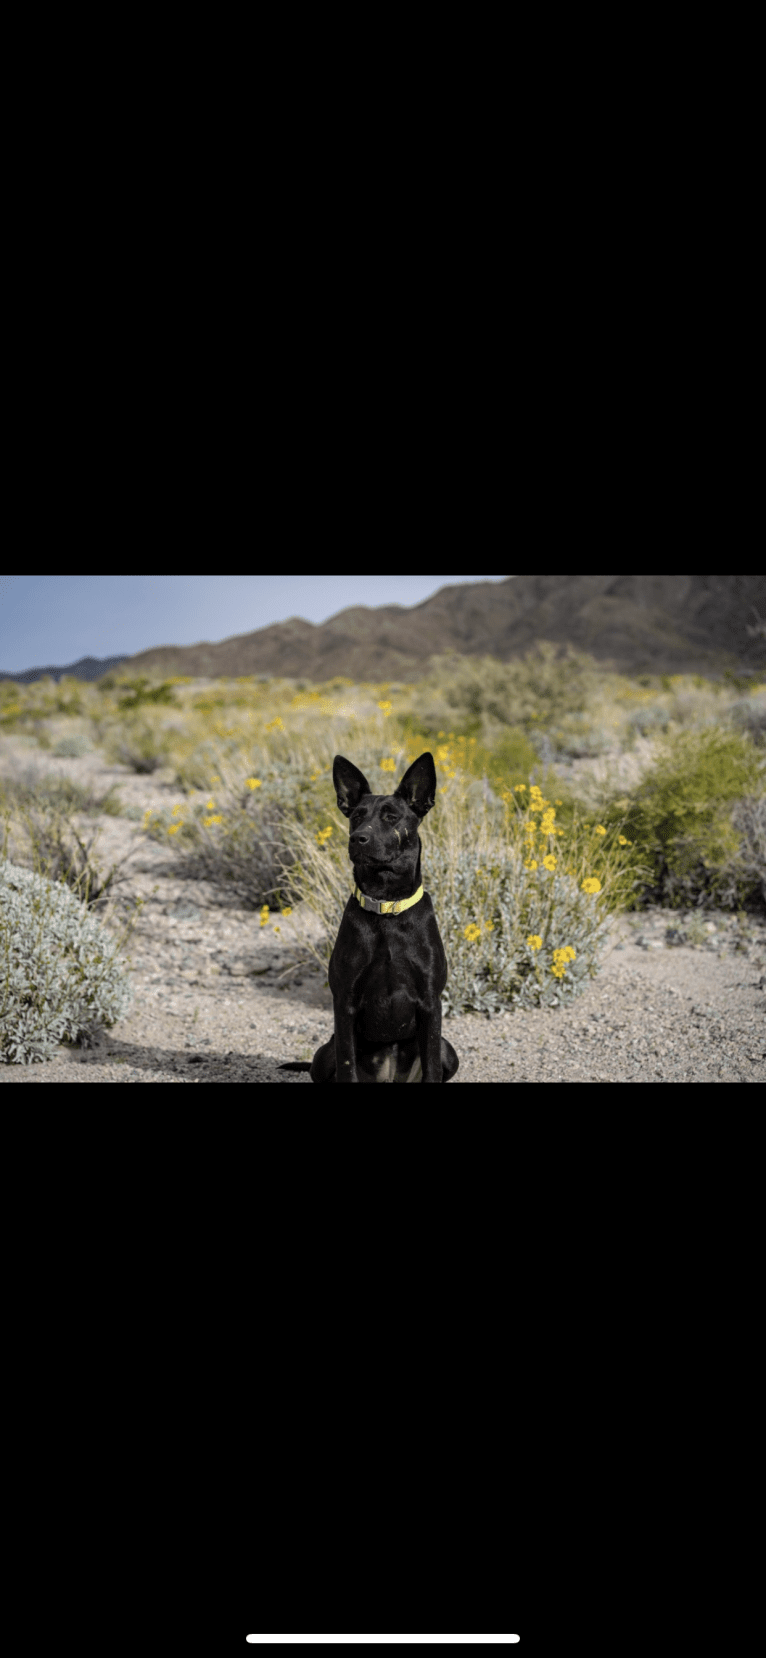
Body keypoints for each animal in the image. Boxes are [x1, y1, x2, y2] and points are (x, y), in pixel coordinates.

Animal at [283, 752, 460, 1087]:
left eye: (391, 817)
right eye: (356, 816)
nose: (358, 838)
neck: (386, 906)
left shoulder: (431, 1003)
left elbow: (431, 1065)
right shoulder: (345, 1003)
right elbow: (347, 1065)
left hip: (449, 1051)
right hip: (324, 1054)